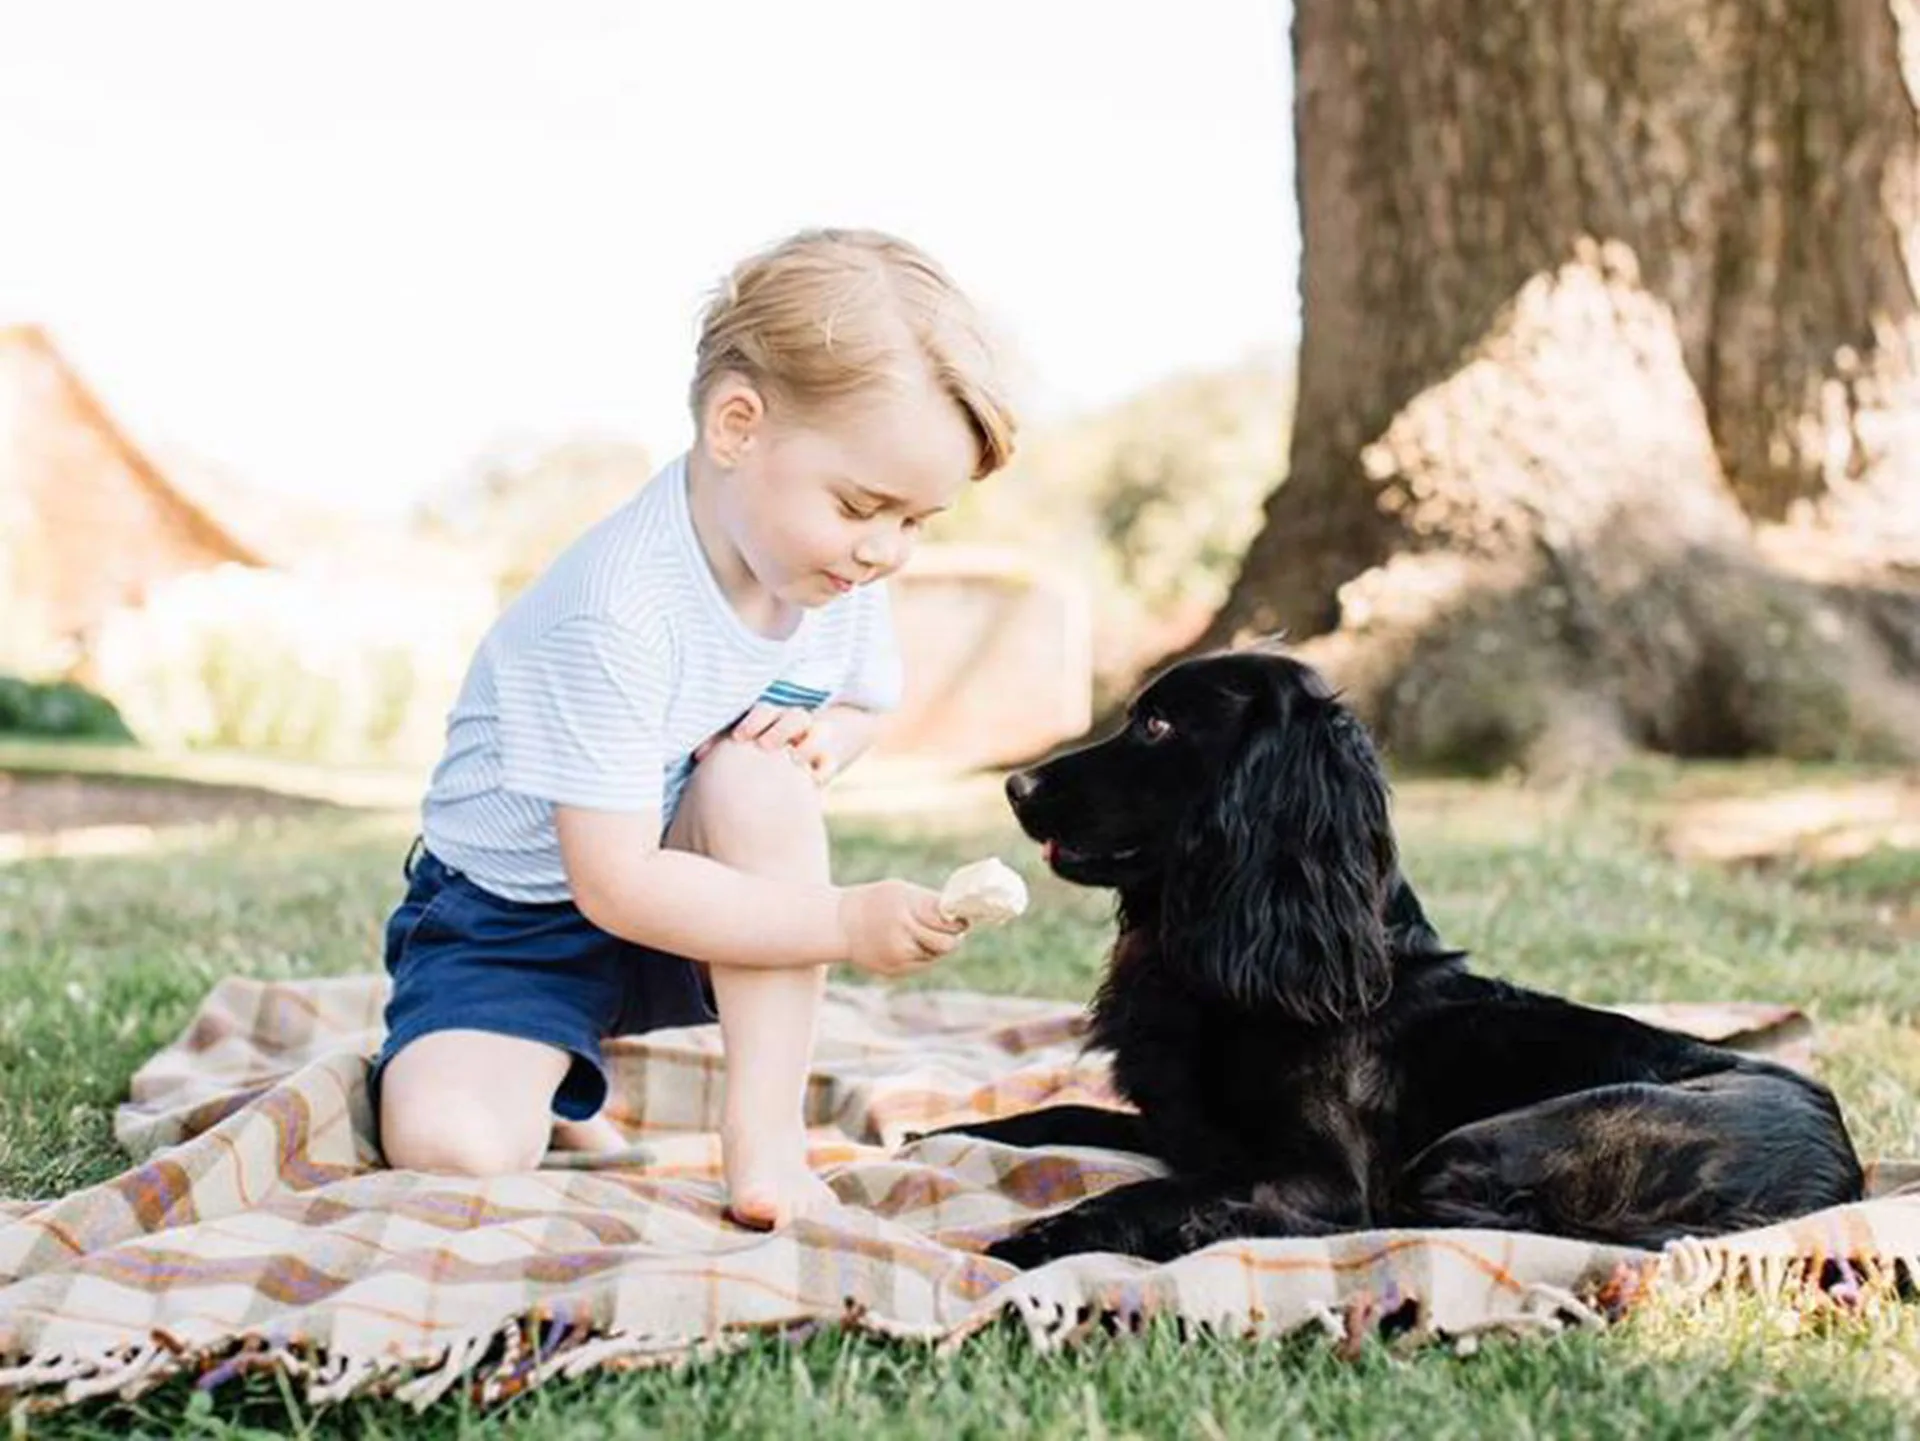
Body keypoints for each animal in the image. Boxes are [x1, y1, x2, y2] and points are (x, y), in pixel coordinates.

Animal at [944, 648, 1858, 1266]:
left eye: (1158, 724)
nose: (1015, 785)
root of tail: (1834, 1182)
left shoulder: (1319, 1171)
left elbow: (1161, 1188)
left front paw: (1035, 1241)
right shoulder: (1186, 1130)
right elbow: (1046, 1117)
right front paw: (937, 1133)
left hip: (1491, 1141)